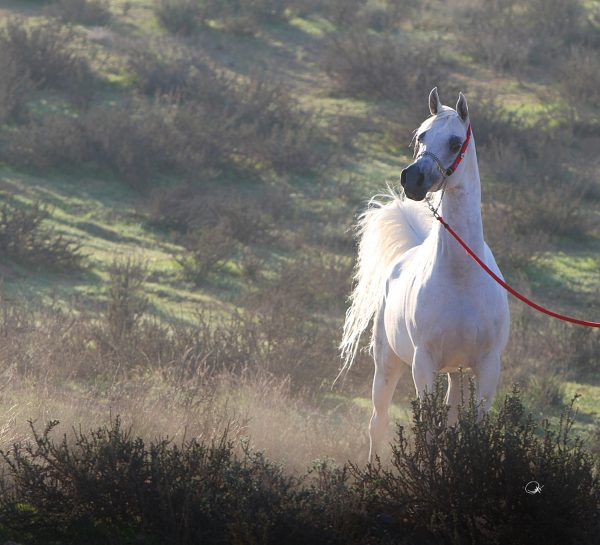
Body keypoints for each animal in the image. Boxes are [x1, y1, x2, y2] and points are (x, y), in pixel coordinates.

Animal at [340, 88, 508, 460]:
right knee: (378, 423)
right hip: (387, 365)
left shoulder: (488, 367)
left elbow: (470, 430)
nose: (413, 179)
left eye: (455, 141)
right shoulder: (423, 363)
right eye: (421, 136)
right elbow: (428, 431)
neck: (461, 278)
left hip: (456, 374)